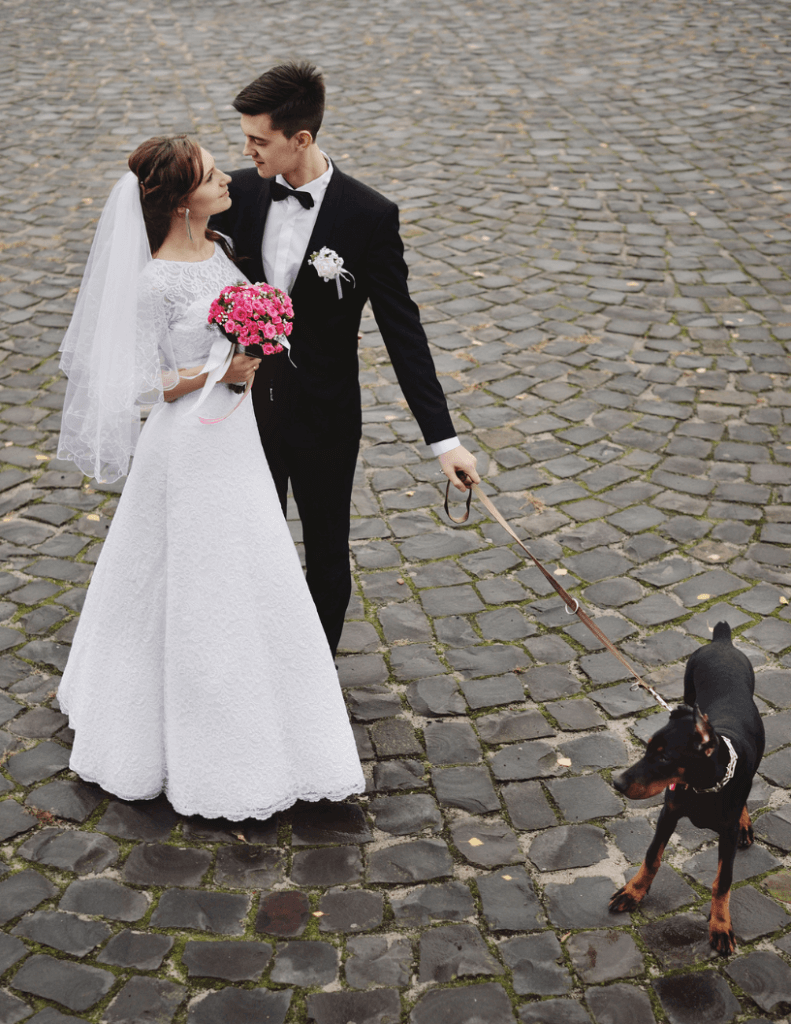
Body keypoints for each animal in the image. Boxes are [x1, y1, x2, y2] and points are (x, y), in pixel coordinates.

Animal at [610, 618, 762, 954]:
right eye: (646, 747)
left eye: (665, 757)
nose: (617, 783)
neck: (702, 788)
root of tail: (722, 641)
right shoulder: (668, 812)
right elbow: (651, 857)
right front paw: (633, 892)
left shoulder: (726, 834)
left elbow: (723, 881)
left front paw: (720, 926)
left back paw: (745, 823)